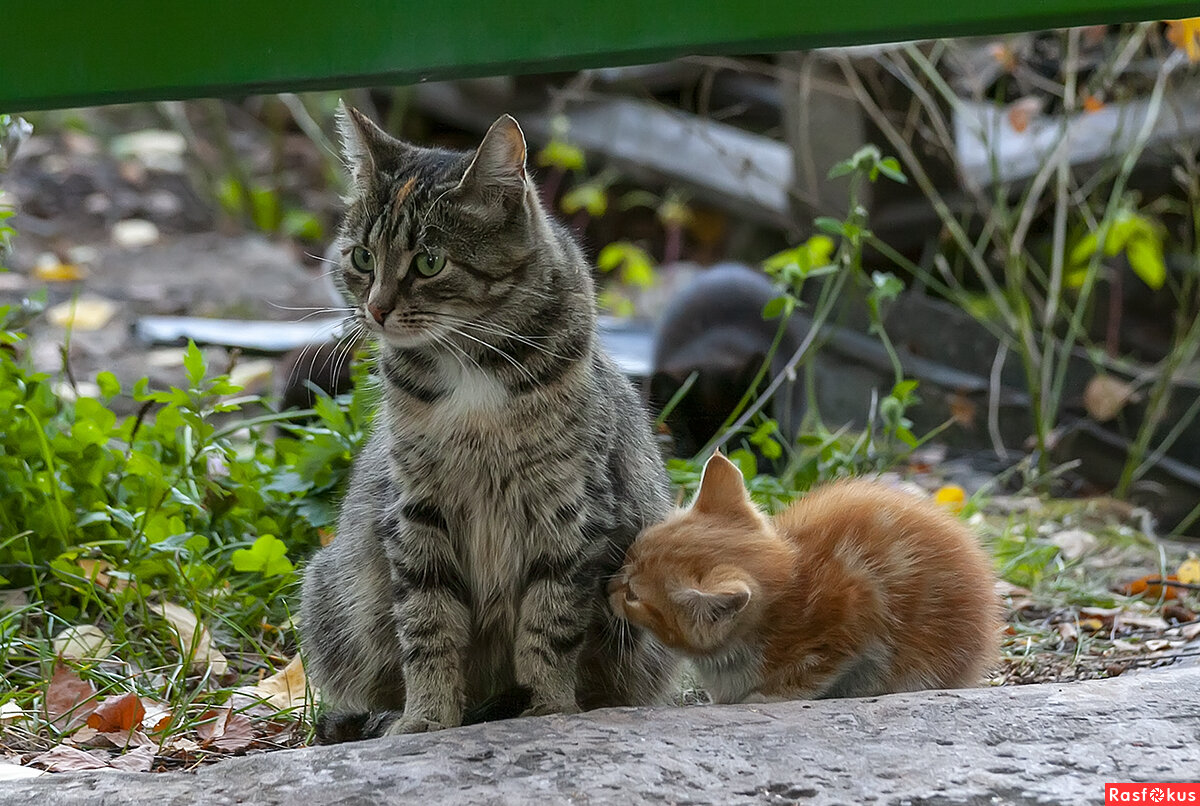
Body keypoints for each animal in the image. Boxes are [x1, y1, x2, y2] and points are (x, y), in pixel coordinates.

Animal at [300, 106, 676, 738]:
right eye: (362, 258)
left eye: (429, 261)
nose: (376, 308)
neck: (469, 364)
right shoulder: (418, 506)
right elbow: (427, 622)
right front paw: (426, 718)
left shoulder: (571, 508)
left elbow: (550, 621)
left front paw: (548, 706)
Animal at [609, 453, 1003, 705]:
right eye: (628, 555)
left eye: (633, 596)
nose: (607, 587)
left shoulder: (852, 613)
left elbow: (808, 675)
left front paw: (762, 696)